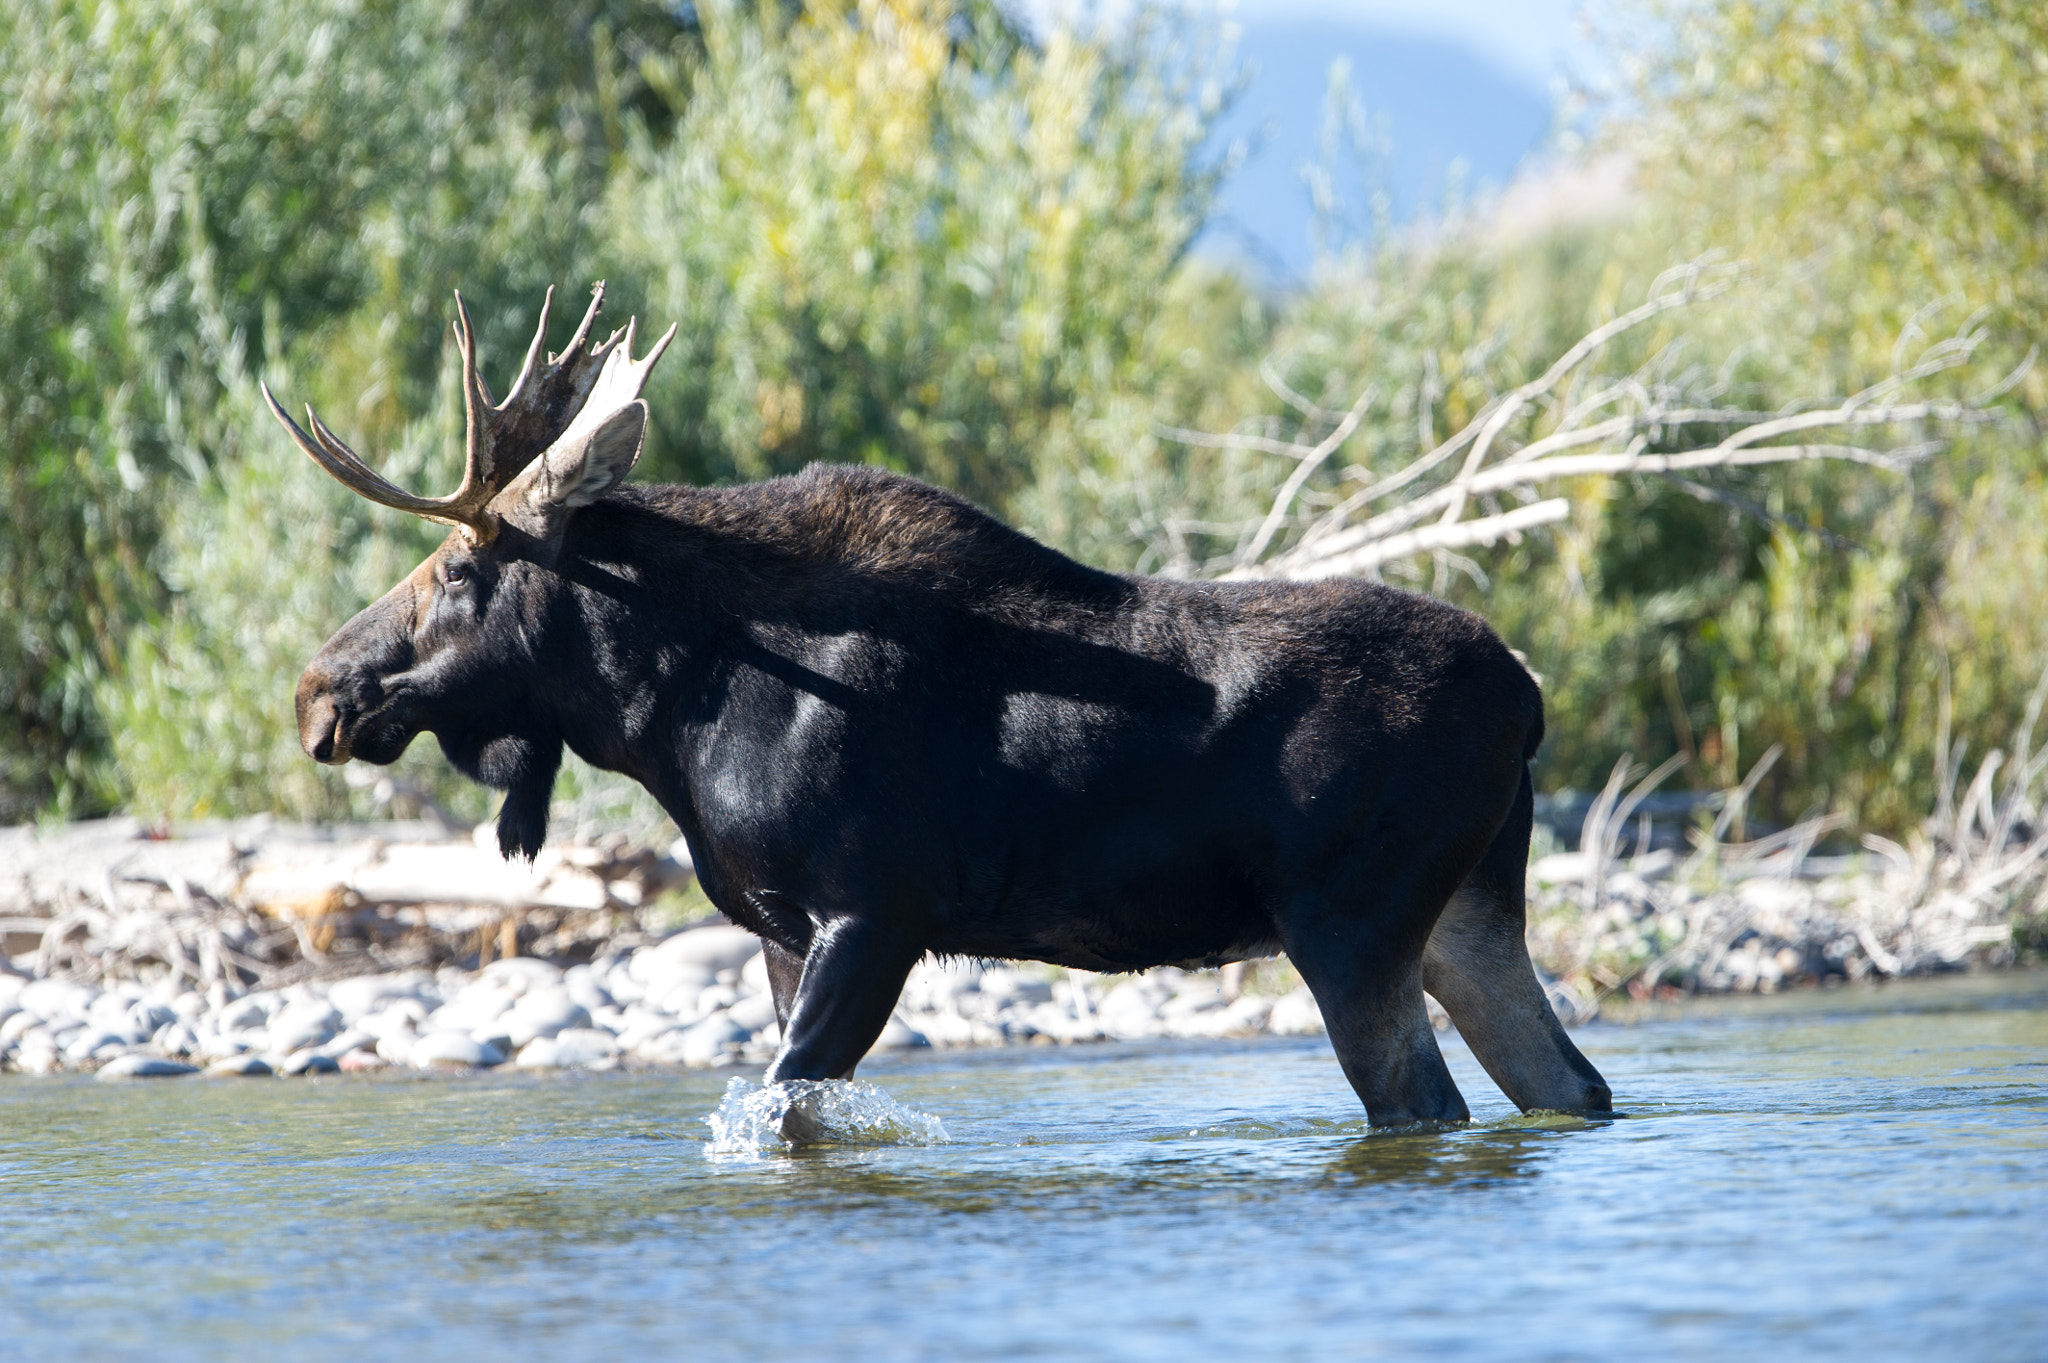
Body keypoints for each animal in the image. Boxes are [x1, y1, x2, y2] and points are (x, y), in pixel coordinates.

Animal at [264, 280, 1613, 1121]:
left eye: (457, 568)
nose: (318, 692)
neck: (669, 715)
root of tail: (1531, 697)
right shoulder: (781, 926)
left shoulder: (874, 908)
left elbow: (778, 1101)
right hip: (1466, 915)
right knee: (1569, 1086)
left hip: (1349, 921)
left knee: (1425, 1103)